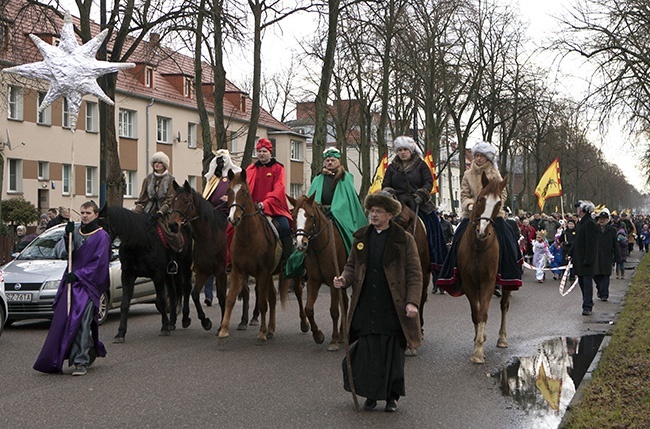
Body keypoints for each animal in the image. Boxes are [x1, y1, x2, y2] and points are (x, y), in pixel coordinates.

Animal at [100, 204, 192, 342]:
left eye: (103, 224)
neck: (139, 241)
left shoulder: (157, 275)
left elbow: (161, 300)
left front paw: (164, 327)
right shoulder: (127, 276)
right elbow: (124, 303)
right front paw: (120, 333)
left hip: (185, 265)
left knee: (186, 288)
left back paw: (185, 319)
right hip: (169, 273)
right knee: (173, 293)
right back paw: (172, 322)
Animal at [216, 169, 288, 342]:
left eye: (245, 192)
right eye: (228, 190)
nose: (233, 219)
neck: (248, 237)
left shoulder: (262, 272)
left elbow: (262, 303)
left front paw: (261, 332)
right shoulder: (238, 271)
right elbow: (230, 299)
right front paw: (223, 330)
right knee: (273, 297)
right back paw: (271, 329)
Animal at [290, 194, 350, 352]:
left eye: (310, 216)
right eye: (293, 216)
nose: (300, 243)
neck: (319, 249)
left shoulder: (333, 281)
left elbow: (334, 311)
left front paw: (333, 340)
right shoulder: (313, 281)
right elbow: (309, 309)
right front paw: (318, 336)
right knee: (345, 302)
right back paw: (342, 333)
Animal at [458, 172, 508, 362]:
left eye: (499, 203)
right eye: (480, 199)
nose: (482, 231)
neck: (478, 247)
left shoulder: (489, 281)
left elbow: (483, 313)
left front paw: (478, 351)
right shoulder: (468, 283)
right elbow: (475, 313)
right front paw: (478, 340)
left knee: (504, 305)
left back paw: (502, 338)